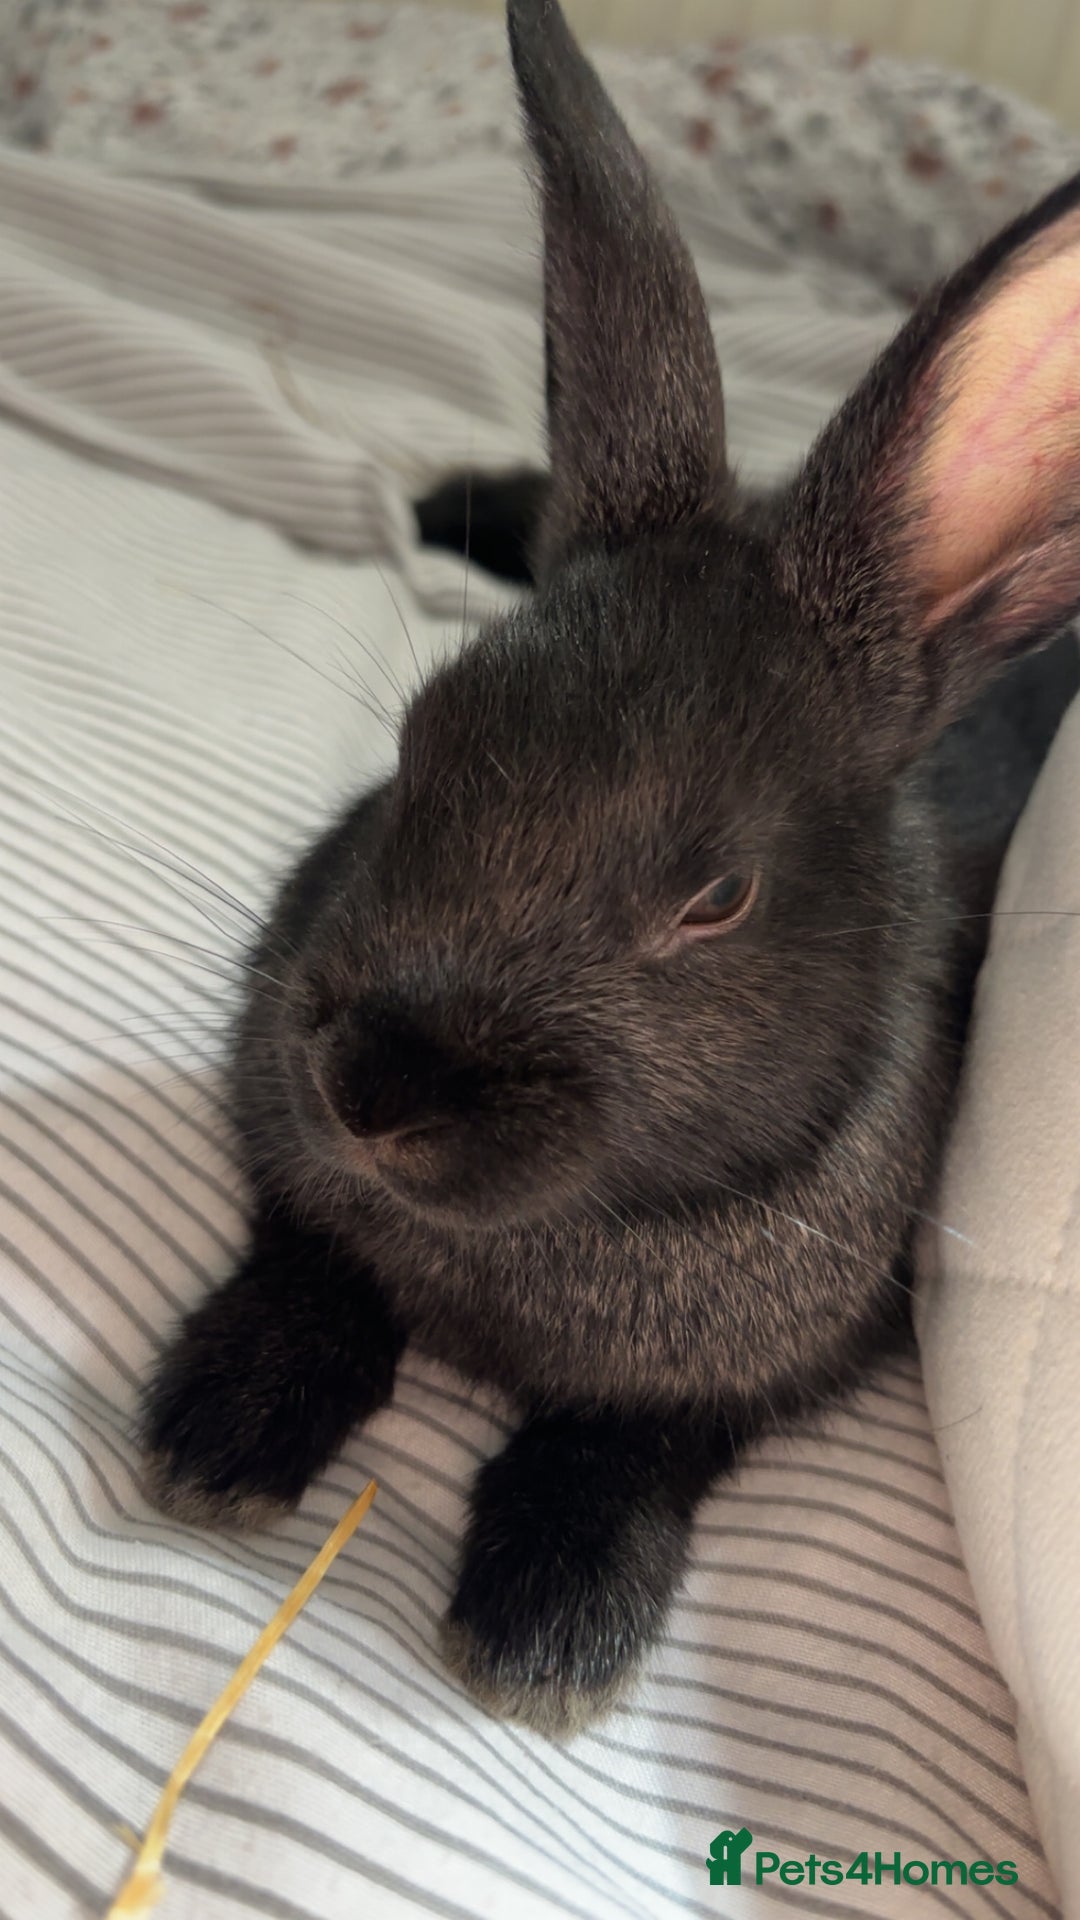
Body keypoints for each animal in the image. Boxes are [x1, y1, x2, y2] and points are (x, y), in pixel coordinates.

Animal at [141, 0, 1080, 1739]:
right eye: (423, 741)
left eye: (715, 899)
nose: (372, 1094)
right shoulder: (301, 1186)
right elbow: (309, 1262)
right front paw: (217, 1435)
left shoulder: (762, 1375)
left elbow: (628, 1443)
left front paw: (546, 1629)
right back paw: (457, 498)